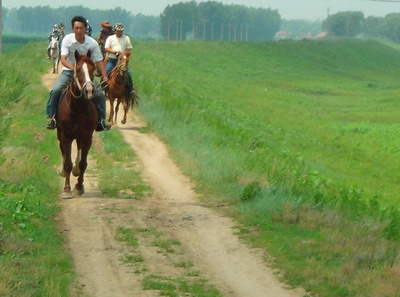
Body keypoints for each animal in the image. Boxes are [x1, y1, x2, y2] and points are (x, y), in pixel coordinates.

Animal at [56, 50, 97, 199]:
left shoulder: (87, 136)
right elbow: (67, 162)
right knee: (62, 150)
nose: (89, 90)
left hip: (80, 136)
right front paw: (67, 190)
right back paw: (63, 171)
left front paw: (79, 187)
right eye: (78, 69)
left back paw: (76, 170)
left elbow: (83, 163)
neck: (78, 108)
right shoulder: (66, 136)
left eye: (93, 69)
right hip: (59, 133)